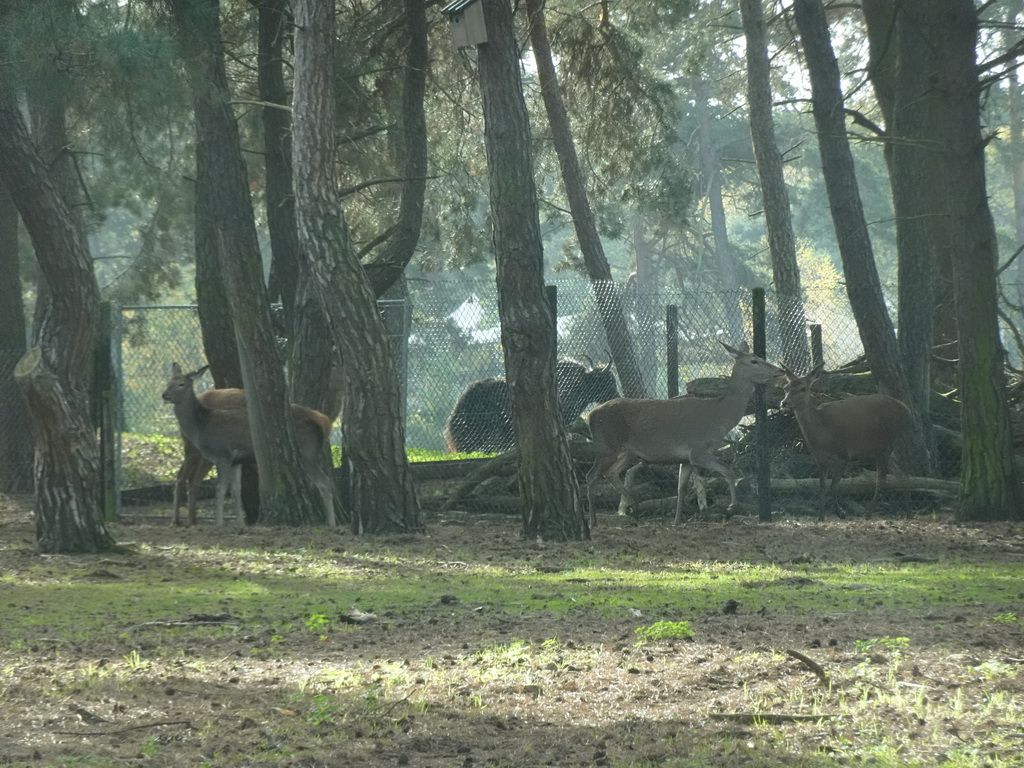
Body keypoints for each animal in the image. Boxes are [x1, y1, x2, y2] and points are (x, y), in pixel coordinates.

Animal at [159, 364, 335, 528]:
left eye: (181, 384)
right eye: (168, 382)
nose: (164, 395)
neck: (201, 426)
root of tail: (322, 426)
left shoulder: (223, 454)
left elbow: (220, 490)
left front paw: (219, 524)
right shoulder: (236, 461)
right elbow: (236, 490)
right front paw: (240, 524)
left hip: (307, 454)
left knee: (325, 483)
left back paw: (331, 522)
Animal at [585, 342, 782, 528]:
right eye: (754, 361)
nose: (779, 371)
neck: (720, 420)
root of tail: (591, 415)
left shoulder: (686, 459)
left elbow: (681, 488)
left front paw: (677, 520)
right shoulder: (698, 451)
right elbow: (728, 470)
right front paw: (731, 507)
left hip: (628, 452)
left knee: (611, 473)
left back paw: (634, 506)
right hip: (606, 446)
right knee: (591, 476)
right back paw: (593, 521)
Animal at [782, 362, 913, 520]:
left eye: (803, 388)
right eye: (785, 388)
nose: (784, 402)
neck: (820, 435)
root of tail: (906, 410)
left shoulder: (843, 454)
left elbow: (833, 486)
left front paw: (840, 513)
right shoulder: (819, 459)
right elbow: (822, 486)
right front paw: (821, 516)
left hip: (888, 442)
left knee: (882, 479)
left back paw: (869, 513)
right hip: (884, 447)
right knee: (901, 475)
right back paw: (908, 512)